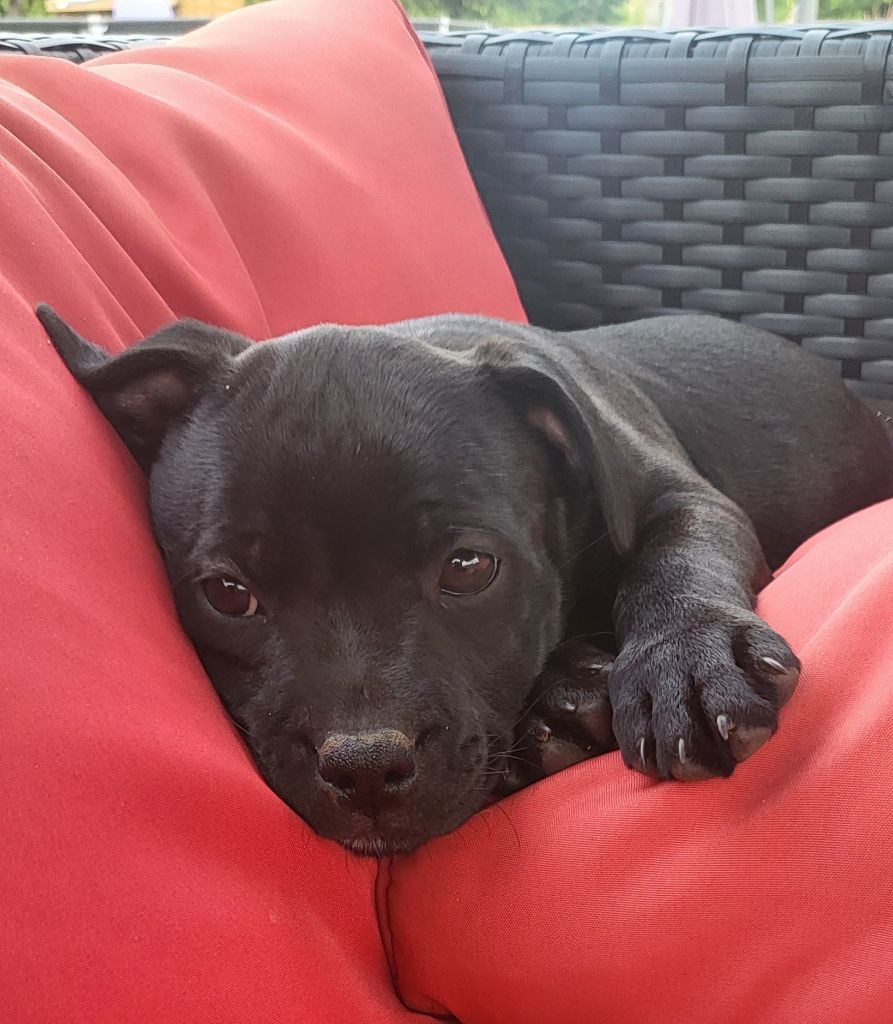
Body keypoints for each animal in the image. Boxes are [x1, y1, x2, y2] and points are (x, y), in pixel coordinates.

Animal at [38, 305, 893, 856]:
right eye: (226, 594)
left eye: (468, 567)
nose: (365, 769)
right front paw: (561, 701)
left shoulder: (675, 494)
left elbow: (674, 560)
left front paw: (686, 661)